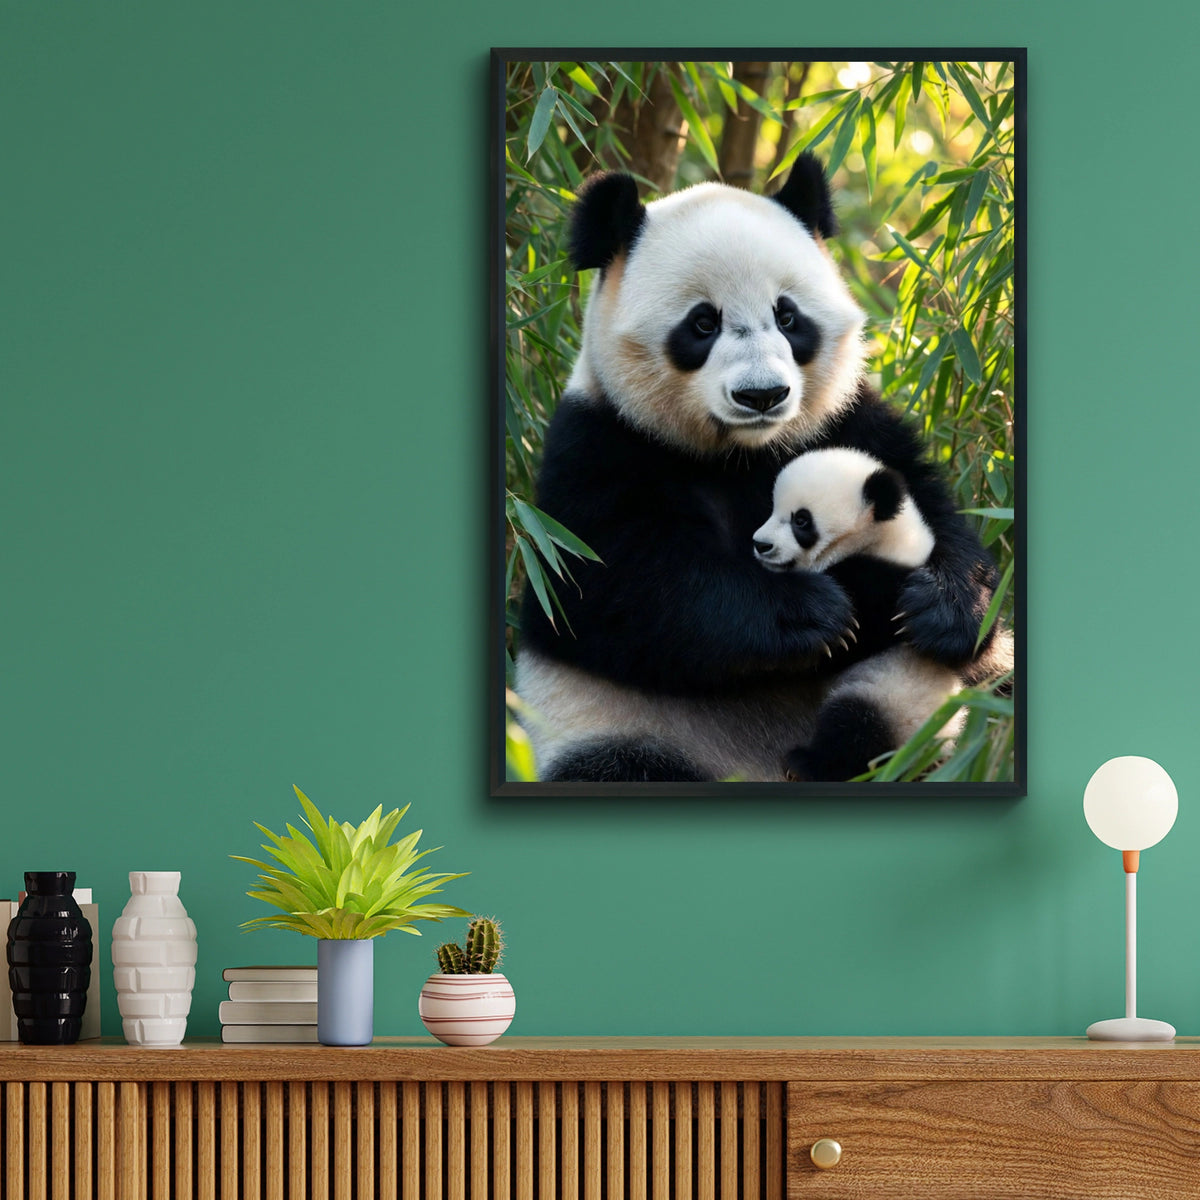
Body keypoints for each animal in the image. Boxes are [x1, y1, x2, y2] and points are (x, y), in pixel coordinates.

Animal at [751, 447, 969, 781]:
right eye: (773, 508)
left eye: (801, 520)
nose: (760, 545)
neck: (887, 539)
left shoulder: (882, 586)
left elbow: (848, 634)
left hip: (894, 702)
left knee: (855, 730)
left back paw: (806, 764)